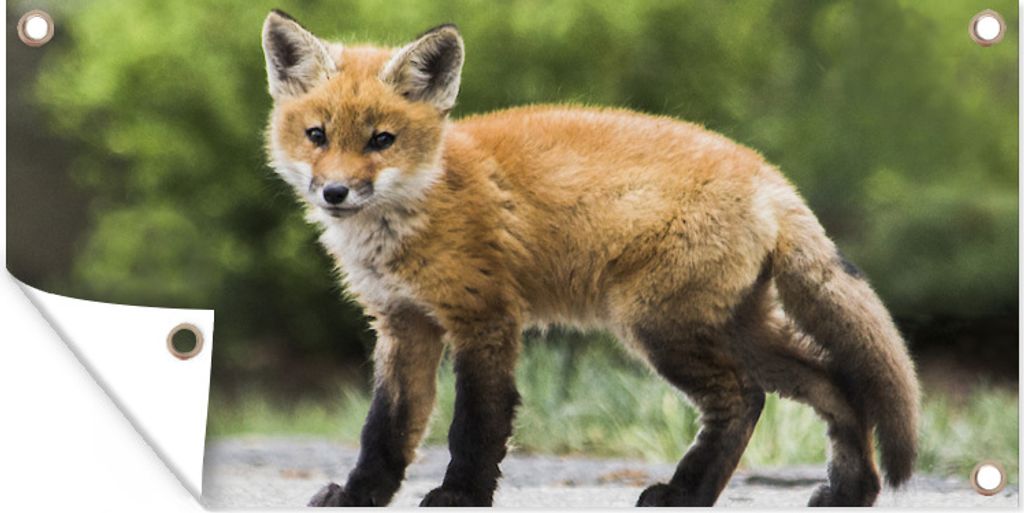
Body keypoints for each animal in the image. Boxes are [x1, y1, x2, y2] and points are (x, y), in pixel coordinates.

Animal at [261, 10, 920, 508]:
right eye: (317, 136)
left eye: (382, 141)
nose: (335, 192)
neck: (418, 208)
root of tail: (769, 175)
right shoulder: (404, 325)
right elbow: (386, 430)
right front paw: (357, 496)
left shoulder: (485, 319)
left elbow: (476, 425)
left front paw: (460, 496)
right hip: (737, 329)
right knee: (833, 385)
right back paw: (848, 491)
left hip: (659, 326)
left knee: (745, 399)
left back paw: (686, 493)